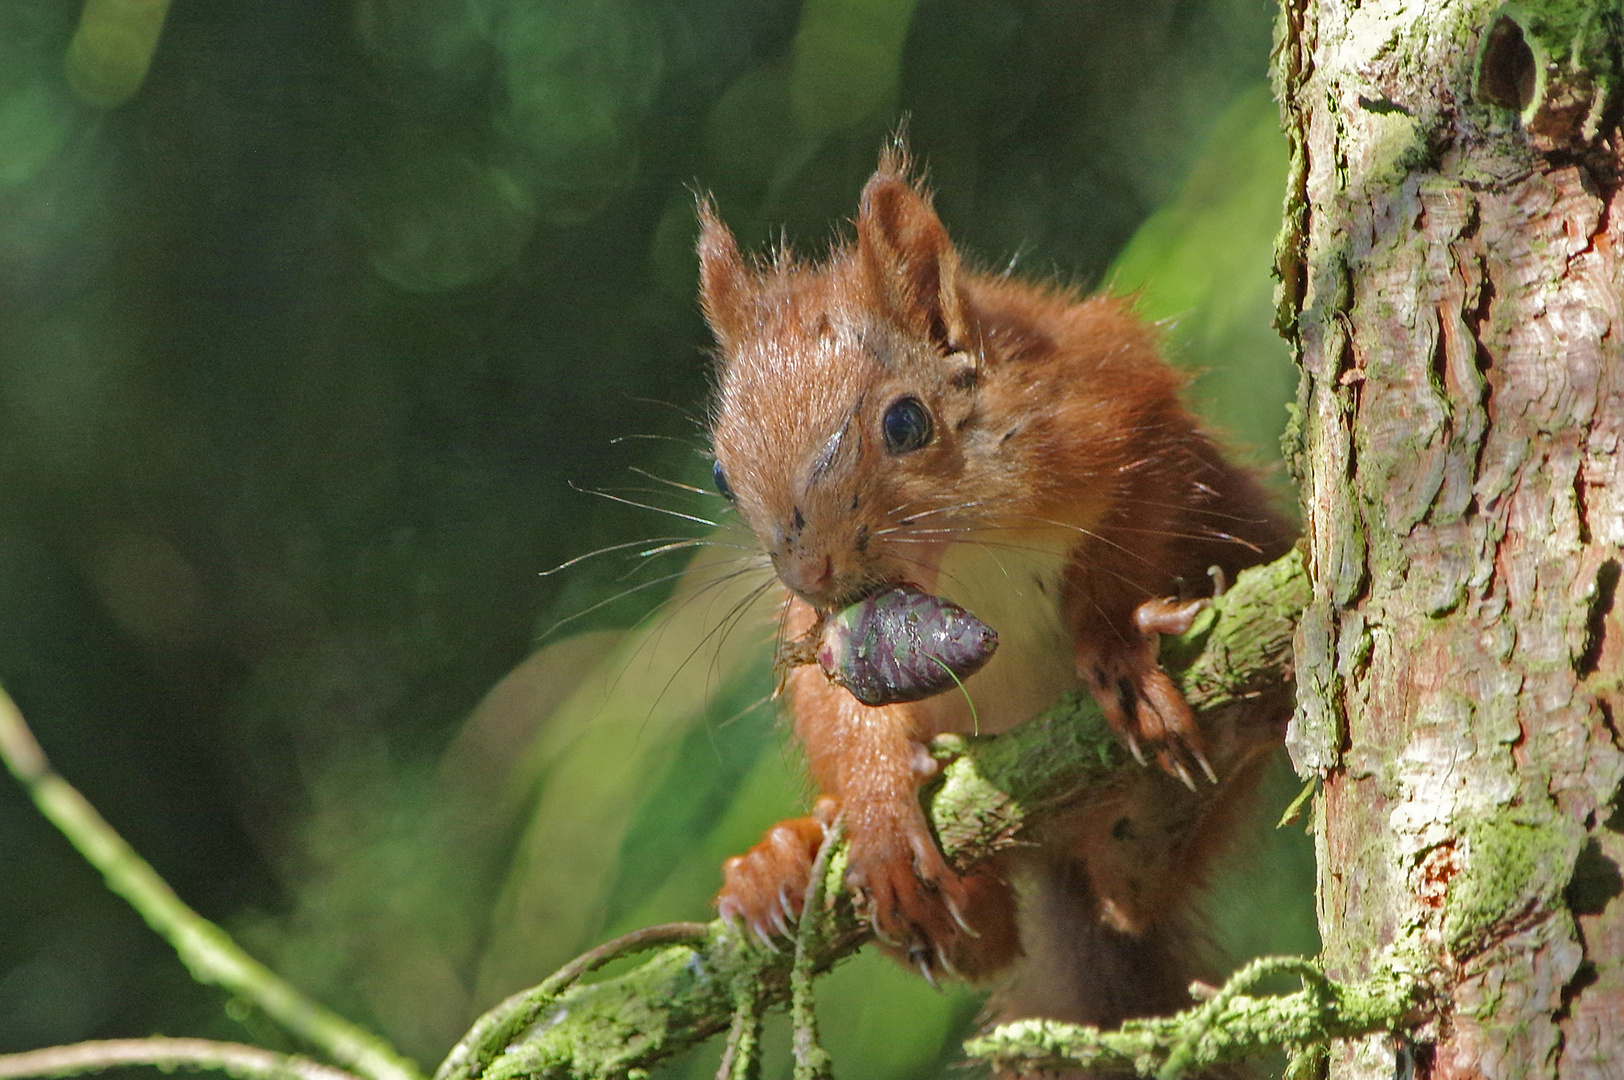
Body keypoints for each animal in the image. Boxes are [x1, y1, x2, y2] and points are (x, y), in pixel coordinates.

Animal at [698, 147, 1292, 1032]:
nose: (810, 571)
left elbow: (1134, 521)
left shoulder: (1118, 410)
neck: (964, 554)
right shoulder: (821, 628)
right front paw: (877, 807)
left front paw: (1120, 647)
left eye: (906, 423)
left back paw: (1189, 778)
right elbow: (835, 700)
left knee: (1134, 890)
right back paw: (783, 864)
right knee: (985, 941)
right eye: (720, 475)